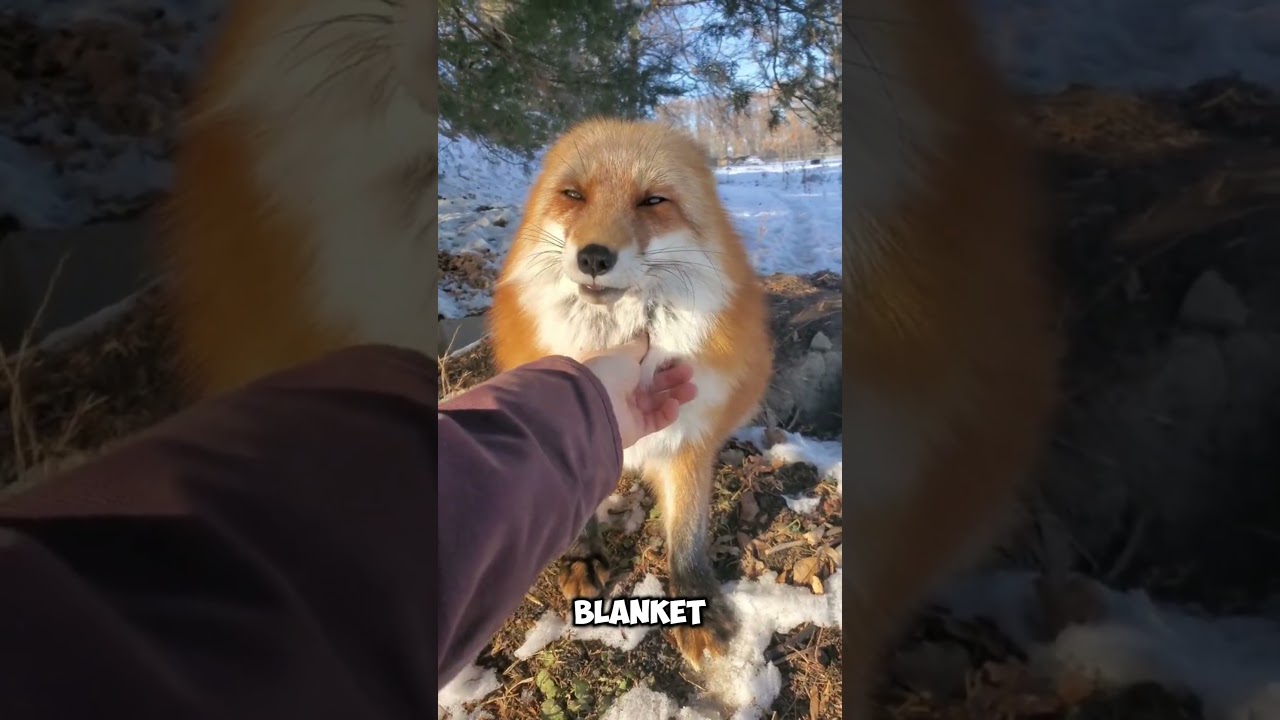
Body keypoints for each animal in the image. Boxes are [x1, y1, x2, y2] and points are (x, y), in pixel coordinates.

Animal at [488, 118, 773, 670]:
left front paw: (694, 602)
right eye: (573, 195)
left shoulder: (688, 436)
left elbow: (686, 533)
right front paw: (583, 556)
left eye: (653, 201)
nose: (594, 256)